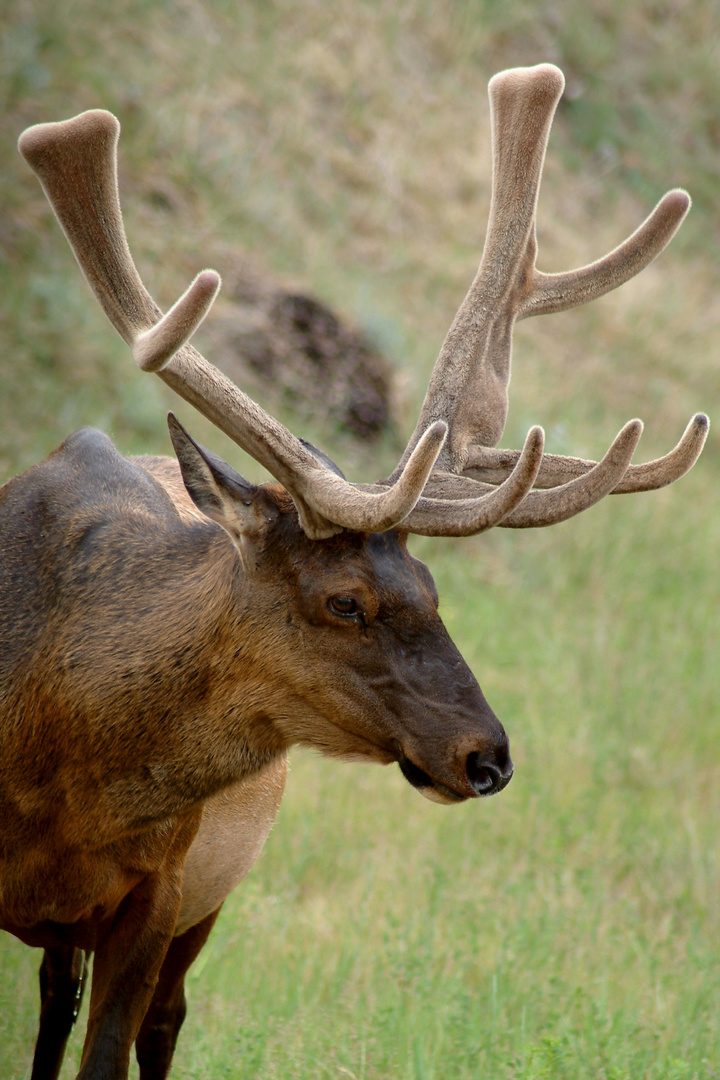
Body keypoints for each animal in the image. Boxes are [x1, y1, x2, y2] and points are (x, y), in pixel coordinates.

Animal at [0, 63, 708, 1075]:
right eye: (345, 602)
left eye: (435, 592)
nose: (488, 756)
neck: (49, 747)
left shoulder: (163, 888)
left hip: (206, 891)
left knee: (156, 1018)